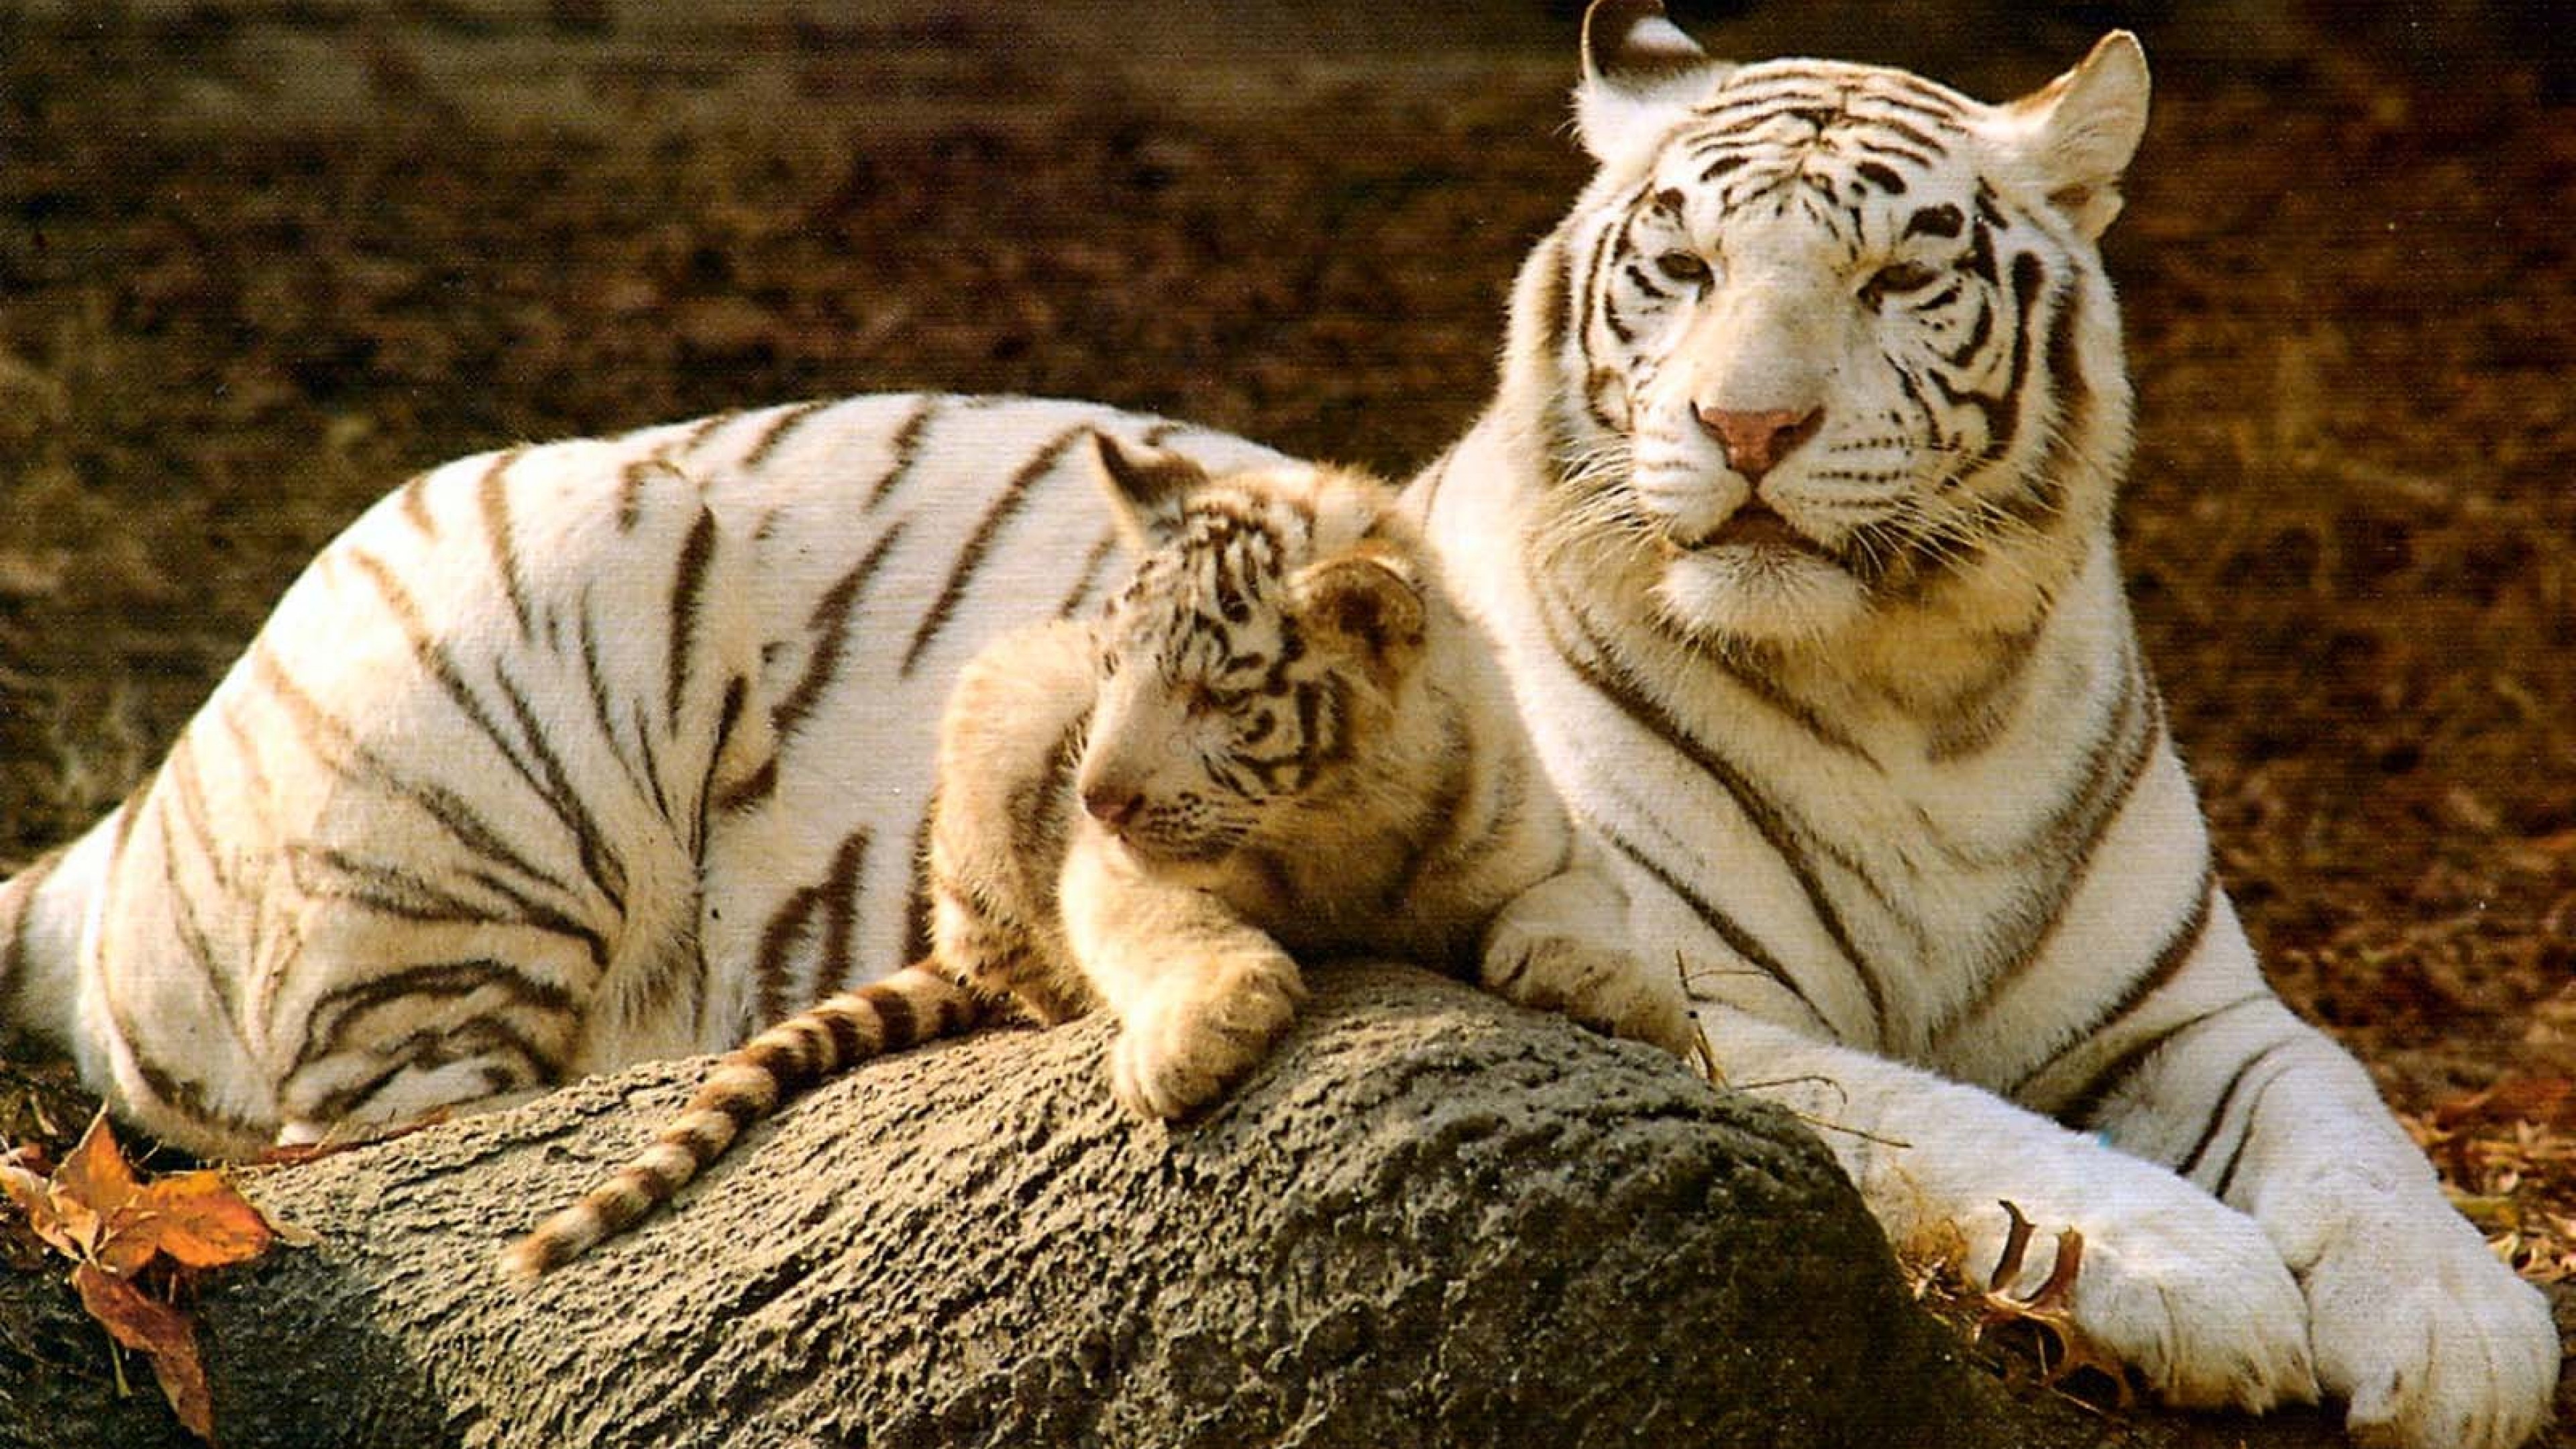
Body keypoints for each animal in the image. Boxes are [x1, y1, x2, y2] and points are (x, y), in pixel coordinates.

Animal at [495, 435, 1698, 1279]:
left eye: (1212, 695)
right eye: (1119, 666)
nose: (1097, 794)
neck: (1334, 823)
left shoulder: (1539, 831)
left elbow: (1581, 907)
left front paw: (1616, 987)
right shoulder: (1109, 869)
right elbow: (1172, 926)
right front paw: (1202, 1034)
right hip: (1003, 698)